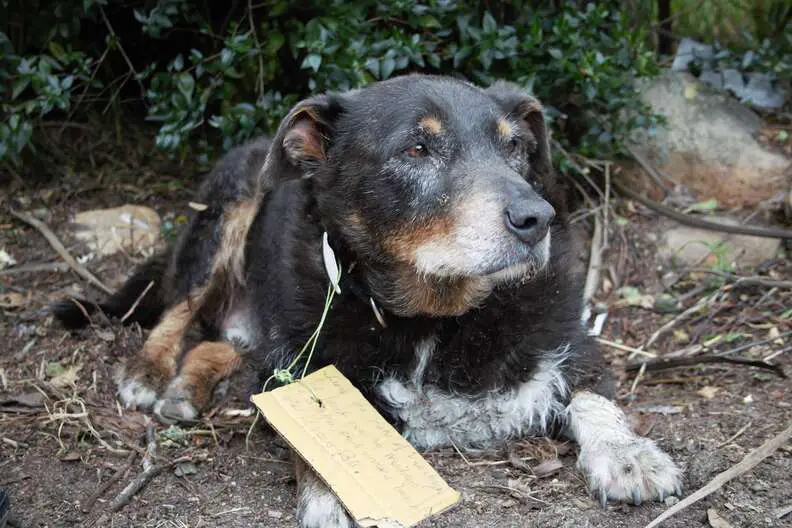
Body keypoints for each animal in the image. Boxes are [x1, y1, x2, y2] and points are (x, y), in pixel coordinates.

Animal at [55, 74, 684, 528]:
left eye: (517, 148)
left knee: (224, 343)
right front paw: (333, 497)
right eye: (417, 148)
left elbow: (597, 401)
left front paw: (629, 456)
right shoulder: (298, 366)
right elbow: (313, 435)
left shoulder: (575, 345)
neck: (434, 318)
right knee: (177, 310)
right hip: (225, 213)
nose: (537, 218)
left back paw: (188, 386)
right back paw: (149, 372)